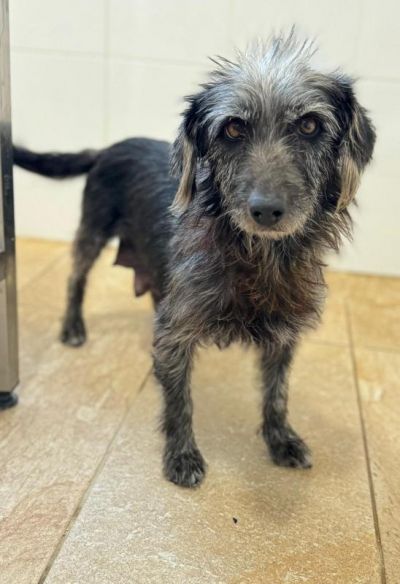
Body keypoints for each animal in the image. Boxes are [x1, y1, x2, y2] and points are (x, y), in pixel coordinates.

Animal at [14, 33, 375, 488]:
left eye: (310, 125)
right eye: (233, 128)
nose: (266, 210)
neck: (256, 255)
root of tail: (108, 147)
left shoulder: (283, 335)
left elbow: (276, 393)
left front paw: (281, 439)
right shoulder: (176, 333)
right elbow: (179, 400)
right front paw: (182, 454)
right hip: (93, 231)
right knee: (75, 277)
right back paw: (73, 326)